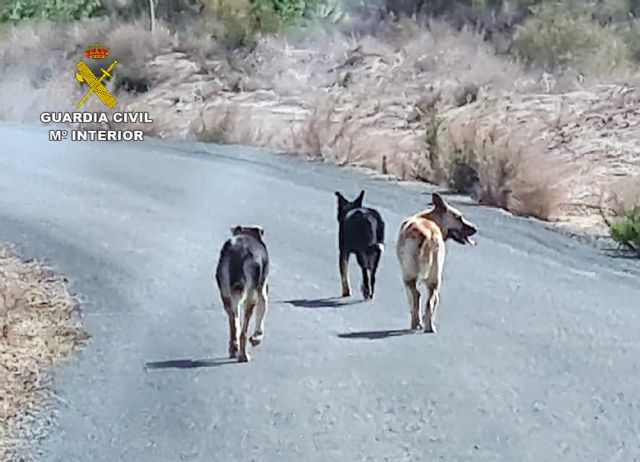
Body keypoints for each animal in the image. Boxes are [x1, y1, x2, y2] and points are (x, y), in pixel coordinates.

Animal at [392, 193, 478, 334]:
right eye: (459, 217)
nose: (475, 229)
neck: (429, 218)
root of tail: (428, 234)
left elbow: (412, 302)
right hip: (435, 278)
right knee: (431, 301)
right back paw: (429, 327)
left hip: (408, 276)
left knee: (416, 296)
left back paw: (416, 323)